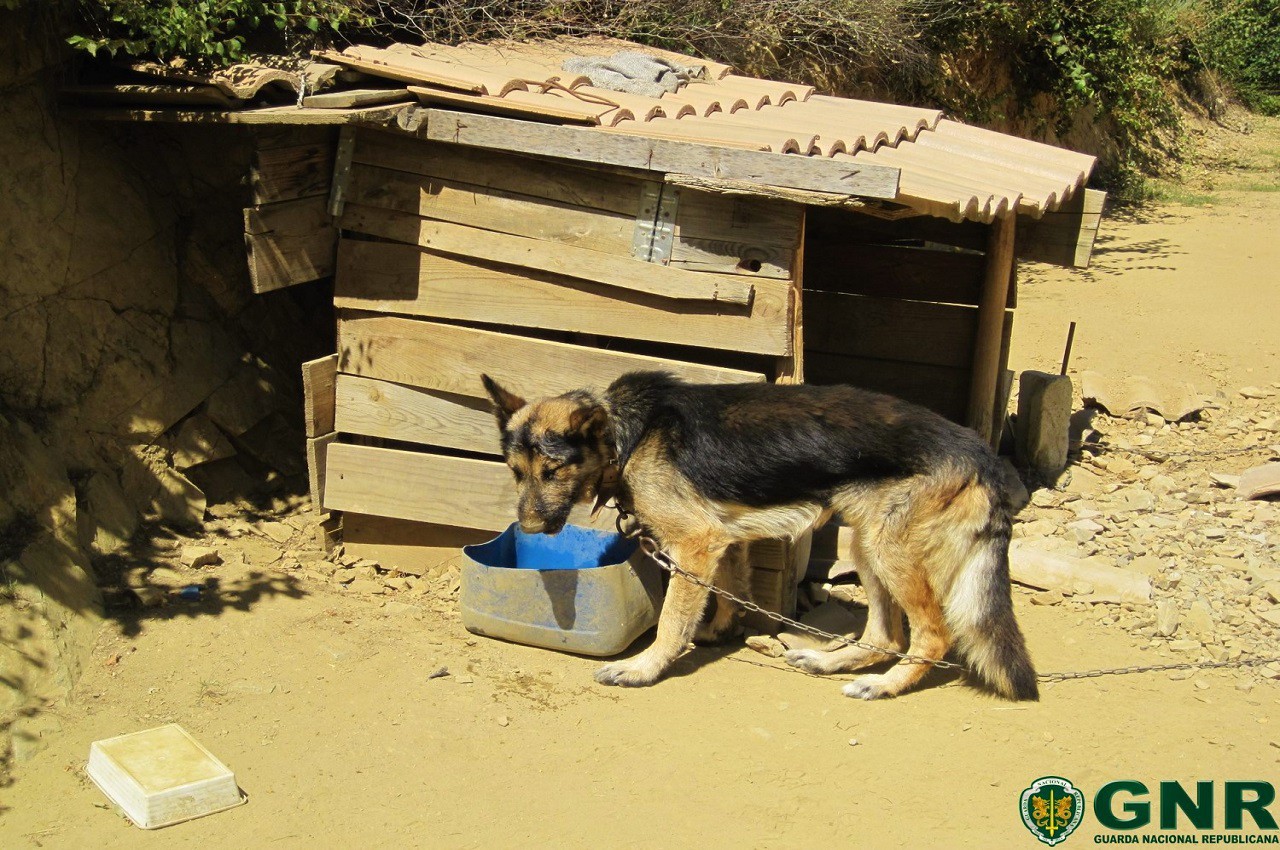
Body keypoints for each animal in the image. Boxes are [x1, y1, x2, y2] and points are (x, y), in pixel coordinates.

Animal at [481, 368, 1039, 701]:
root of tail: (983, 453)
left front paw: (645, 667)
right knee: (886, 634)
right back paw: (831, 661)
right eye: (515, 472)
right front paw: (718, 630)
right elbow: (726, 593)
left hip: (888, 549)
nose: (529, 527)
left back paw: (886, 685)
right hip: (867, 545)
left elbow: (671, 620)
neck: (626, 436)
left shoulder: (697, 543)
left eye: (553, 472)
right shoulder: (724, 542)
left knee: (932, 633)